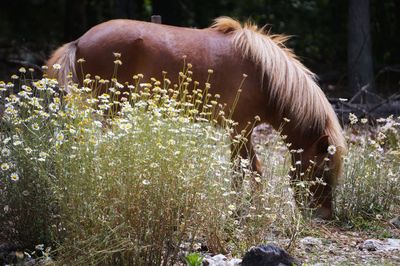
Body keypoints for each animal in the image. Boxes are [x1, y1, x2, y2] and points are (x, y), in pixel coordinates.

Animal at [46, 16, 346, 218]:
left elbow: (255, 169)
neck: (263, 75)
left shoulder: (244, 131)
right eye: (323, 170)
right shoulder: (239, 130)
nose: (324, 215)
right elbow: (240, 170)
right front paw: (236, 210)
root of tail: (79, 41)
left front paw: (252, 208)